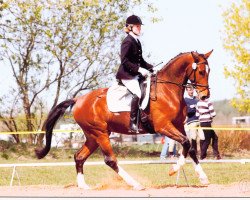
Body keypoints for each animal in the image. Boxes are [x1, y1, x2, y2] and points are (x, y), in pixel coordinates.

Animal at [35, 49, 213, 189]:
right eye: (201, 72)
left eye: (209, 71)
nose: (205, 96)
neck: (167, 89)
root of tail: (78, 99)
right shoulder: (163, 126)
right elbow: (186, 142)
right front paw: (173, 169)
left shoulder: (178, 125)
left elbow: (190, 147)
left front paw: (203, 178)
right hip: (100, 133)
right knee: (110, 160)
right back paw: (135, 184)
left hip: (93, 136)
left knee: (79, 156)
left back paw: (83, 186)